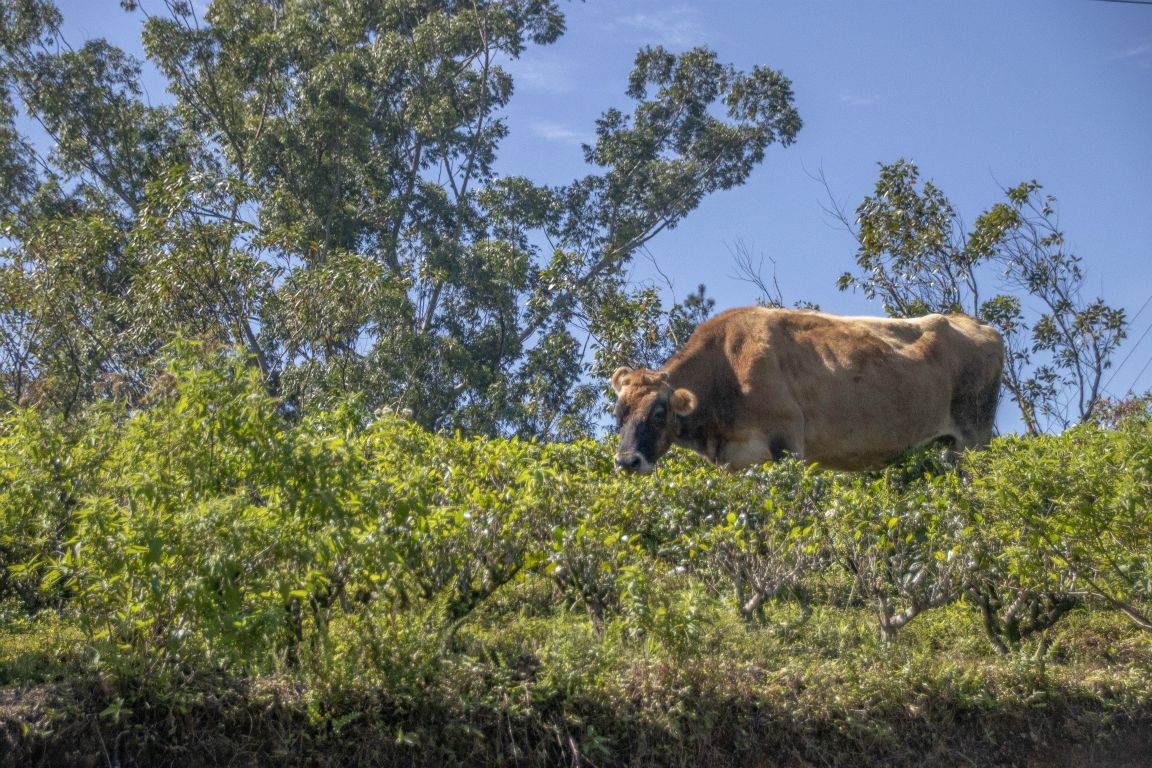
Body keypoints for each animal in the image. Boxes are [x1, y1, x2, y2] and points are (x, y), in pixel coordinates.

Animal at [612, 308, 999, 472]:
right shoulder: (735, 461)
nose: (627, 462)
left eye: (659, 413)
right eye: (618, 415)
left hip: (975, 437)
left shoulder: (787, 440)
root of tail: (977, 324)